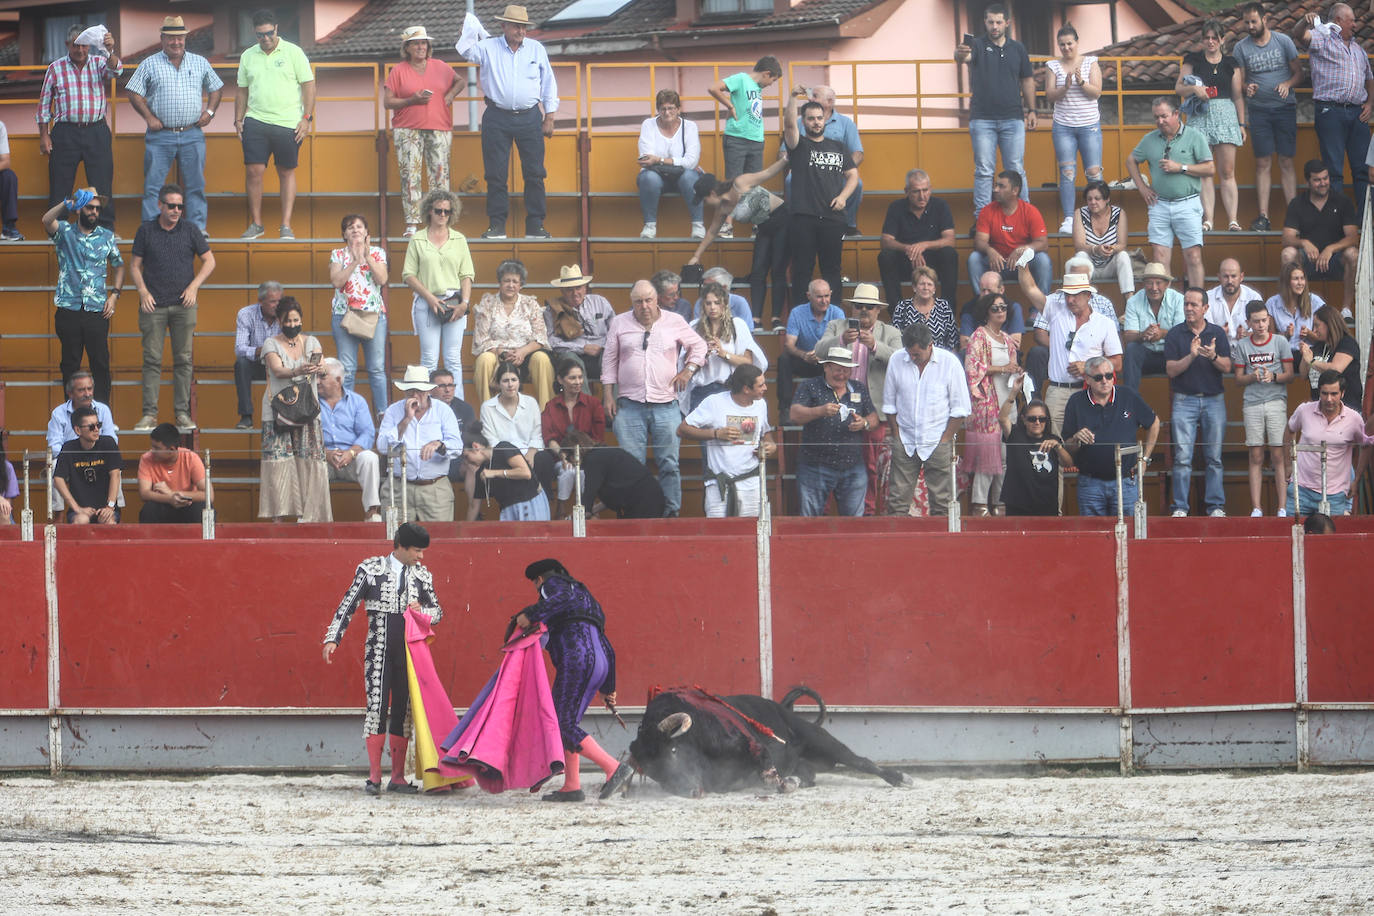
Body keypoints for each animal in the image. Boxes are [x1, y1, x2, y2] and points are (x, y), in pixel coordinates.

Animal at [626, 686, 906, 796]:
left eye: (673, 750)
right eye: (652, 770)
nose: (690, 791)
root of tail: (783, 707)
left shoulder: (752, 746)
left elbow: (769, 773)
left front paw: (785, 784)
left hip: (819, 739)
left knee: (860, 760)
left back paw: (900, 778)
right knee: (810, 773)